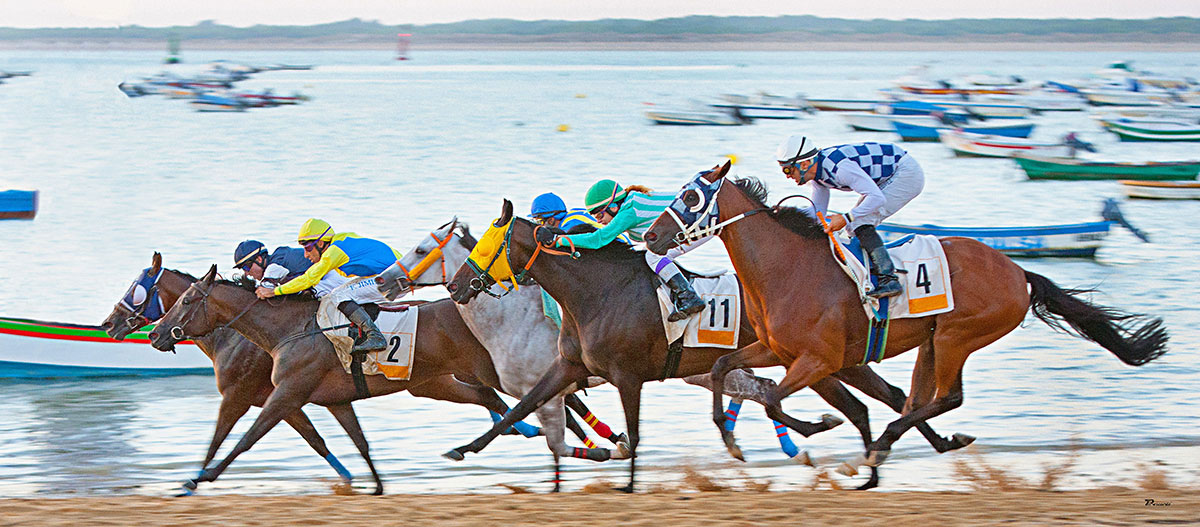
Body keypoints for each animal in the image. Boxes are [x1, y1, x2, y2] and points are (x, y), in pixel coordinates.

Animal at [441, 200, 974, 492]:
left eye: (485, 246)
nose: (457, 285)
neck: (595, 292)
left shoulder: (627, 376)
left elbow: (636, 436)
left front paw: (629, 483)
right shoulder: (567, 366)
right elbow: (519, 408)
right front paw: (463, 448)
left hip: (820, 359)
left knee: (869, 400)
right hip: (830, 361)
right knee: (877, 400)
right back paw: (910, 446)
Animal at [643, 163, 1166, 477]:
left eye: (692, 197)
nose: (649, 235)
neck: (786, 268)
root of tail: (1018, 271)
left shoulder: (817, 359)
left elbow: (772, 399)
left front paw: (818, 427)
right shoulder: (777, 349)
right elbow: (720, 369)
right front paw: (732, 441)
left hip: (959, 336)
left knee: (945, 397)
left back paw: (887, 443)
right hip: (933, 340)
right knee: (916, 398)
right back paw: (920, 442)